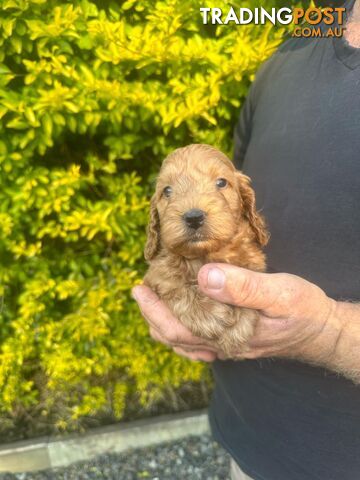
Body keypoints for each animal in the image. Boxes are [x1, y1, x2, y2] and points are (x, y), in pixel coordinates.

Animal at [142, 142, 268, 356]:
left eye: (221, 183)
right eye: (167, 191)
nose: (193, 217)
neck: (204, 255)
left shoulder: (253, 263)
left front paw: (237, 327)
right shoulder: (156, 275)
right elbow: (175, 286)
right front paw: (208, 314)